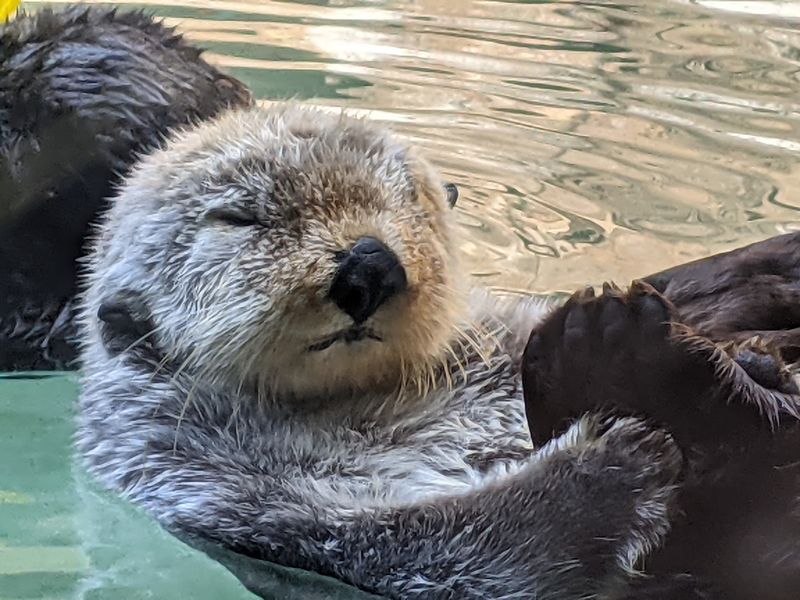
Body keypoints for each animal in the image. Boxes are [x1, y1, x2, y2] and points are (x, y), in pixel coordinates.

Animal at [77, 104, 697, 599]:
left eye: (412, 200)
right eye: (238, 218)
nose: (369, 263)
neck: (363, 403)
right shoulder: (208, 485)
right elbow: (418, 545)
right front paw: (611, 463)